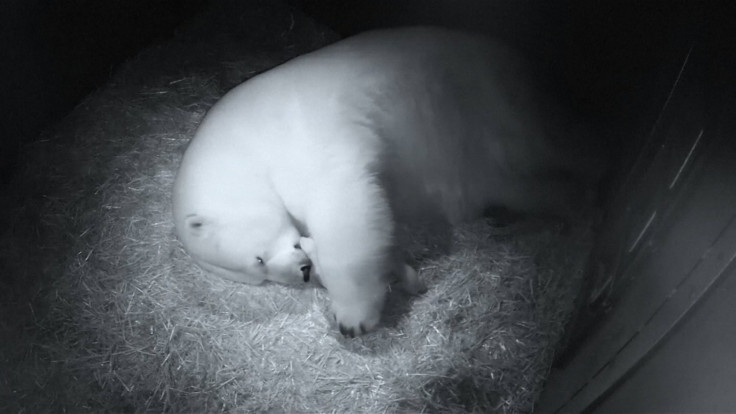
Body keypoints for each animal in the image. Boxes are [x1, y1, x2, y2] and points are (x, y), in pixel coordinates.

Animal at [174, 25, 600, 336]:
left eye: (258, 260)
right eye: (259, 276)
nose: (301, 273)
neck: (240, 147)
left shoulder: (302, 140)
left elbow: (345, 204)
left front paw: (352, 317)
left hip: (489, 106)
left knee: (548, 146)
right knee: (517, 184)